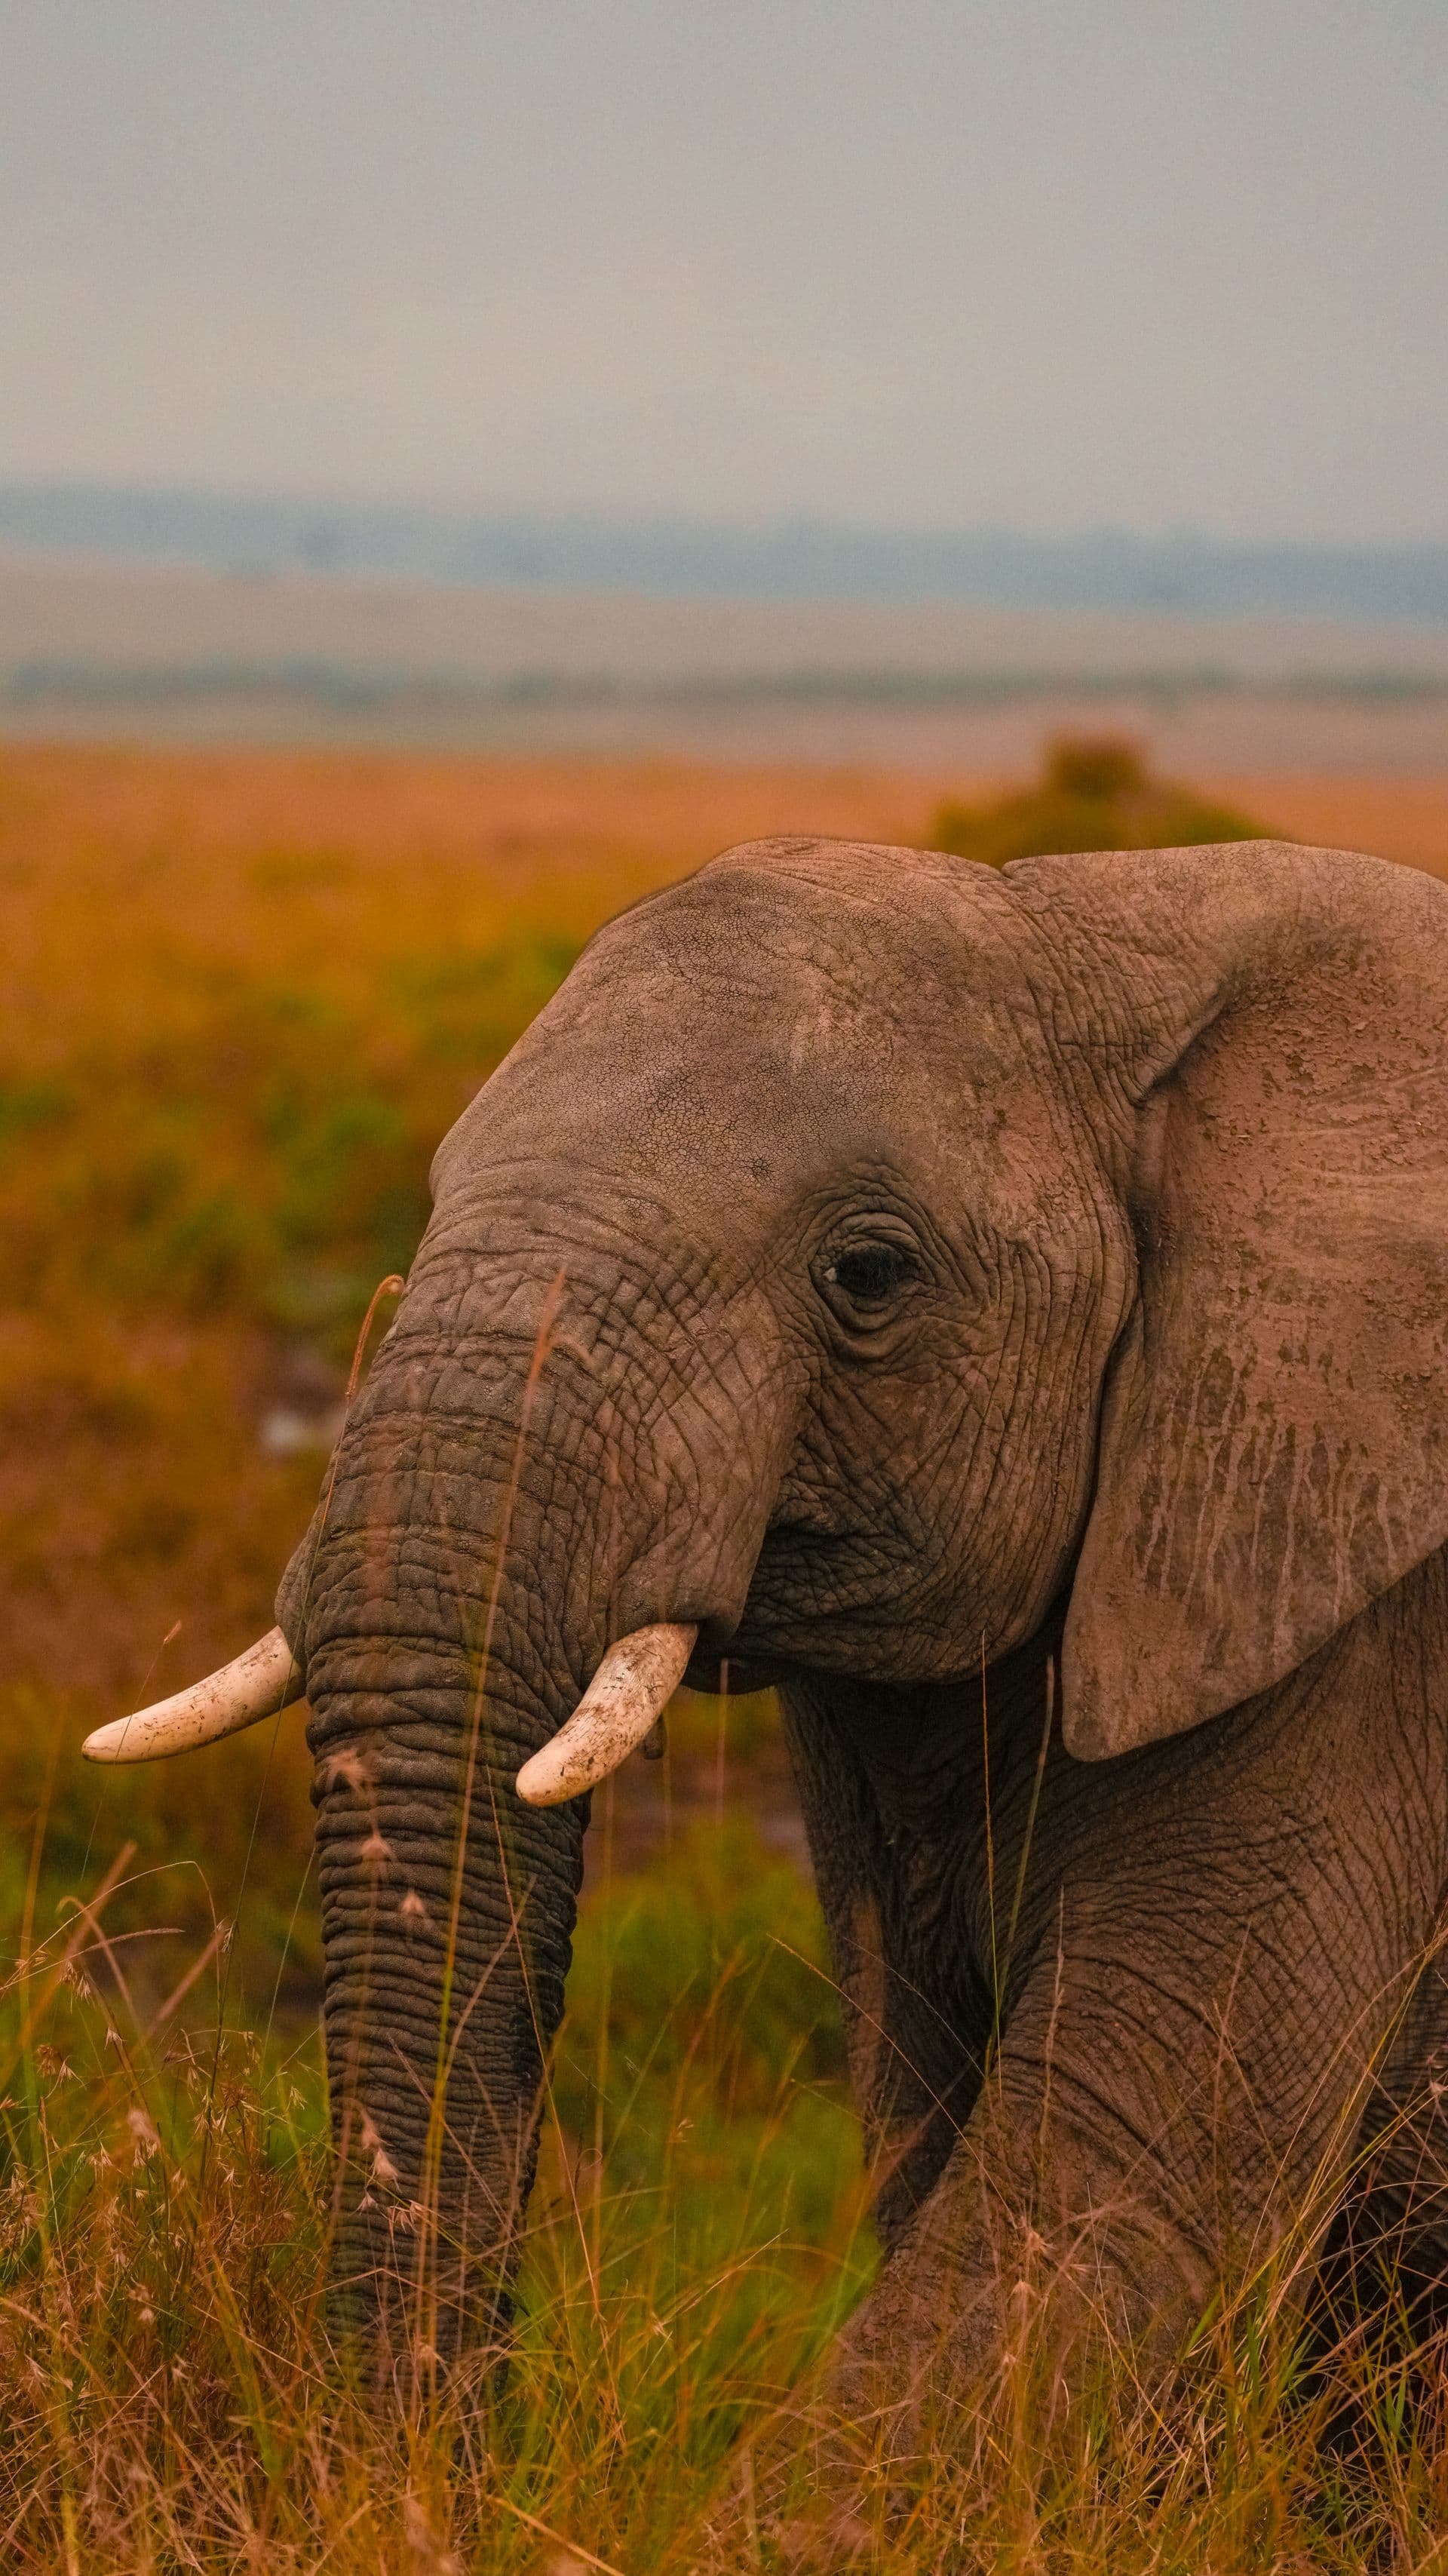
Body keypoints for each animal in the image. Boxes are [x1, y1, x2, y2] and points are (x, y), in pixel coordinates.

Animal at [85, 831, 1448, 2462]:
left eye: (867, 1274)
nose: (437, 2467)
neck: (1100, 923)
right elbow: (929, 2112)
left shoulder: (1341, 1596)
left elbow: (1124, 2160)